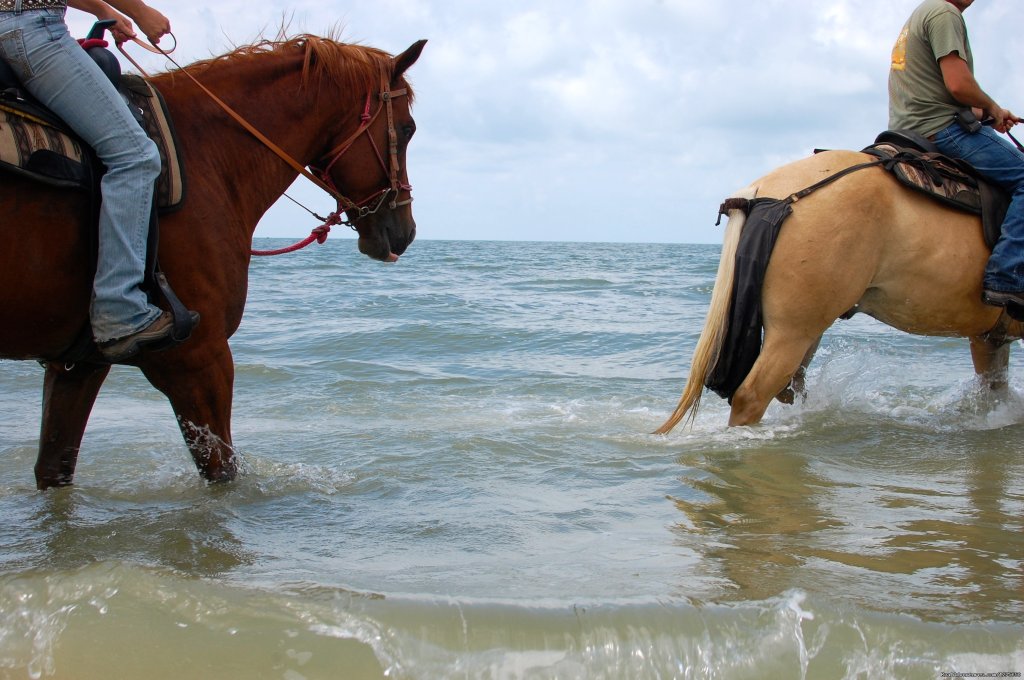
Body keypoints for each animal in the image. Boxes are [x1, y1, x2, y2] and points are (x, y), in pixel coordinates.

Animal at [0, 33, 423, 489]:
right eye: (408, 129)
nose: (406, 230)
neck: (205, 155)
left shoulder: (79, 364)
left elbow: (54, 469)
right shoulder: (198, 359)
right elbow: (224, 474)